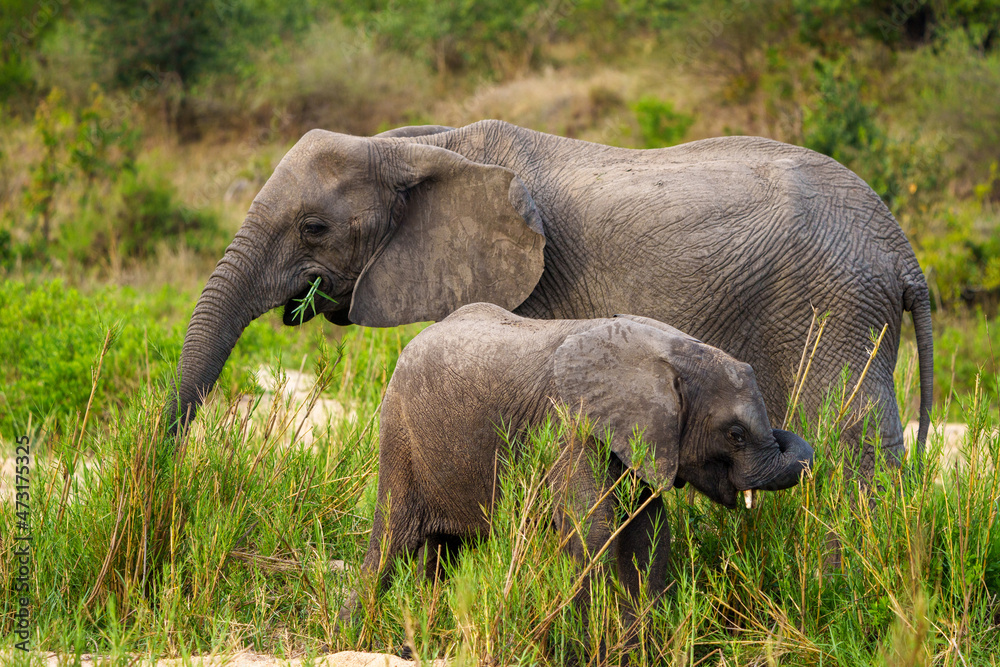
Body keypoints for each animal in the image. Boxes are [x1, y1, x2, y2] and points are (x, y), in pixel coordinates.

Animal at [170, 120, 928, 474]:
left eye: (314, 228)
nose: (163, 457)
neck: (424, 145)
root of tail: (902, 251)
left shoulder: (537, 287)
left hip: (834, 303)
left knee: (853, 436)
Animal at [358, 306, 812, 612]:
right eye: (735, 435)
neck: (674, 352)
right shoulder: (570, 427)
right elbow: (593, 531)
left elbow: (648, 535)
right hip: (399, 434)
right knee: (388, 543)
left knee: (442, 552)